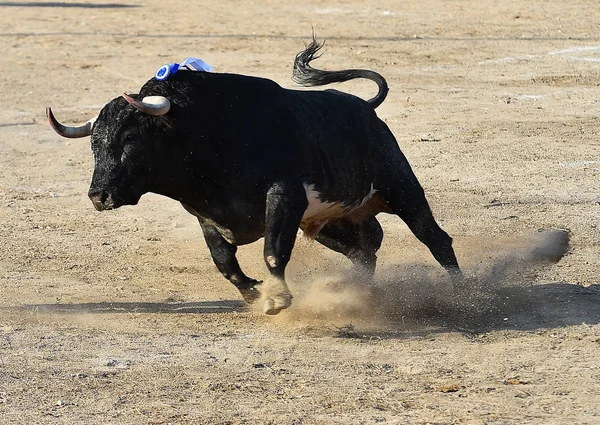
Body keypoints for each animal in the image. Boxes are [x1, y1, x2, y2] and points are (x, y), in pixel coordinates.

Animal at [48, 39, 460, 314]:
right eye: (94, 143)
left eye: (130, 138)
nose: (98, 196)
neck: (202, 130)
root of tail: (366, 109)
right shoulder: (205, 215)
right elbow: (225, 263)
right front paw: (255, 292)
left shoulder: (285, 195)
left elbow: (273, 251)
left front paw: (276, 297)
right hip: (331, 221)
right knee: (366, 247)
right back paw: (362, 293)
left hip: (401, 186)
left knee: (434, 237)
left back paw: (462, 290)